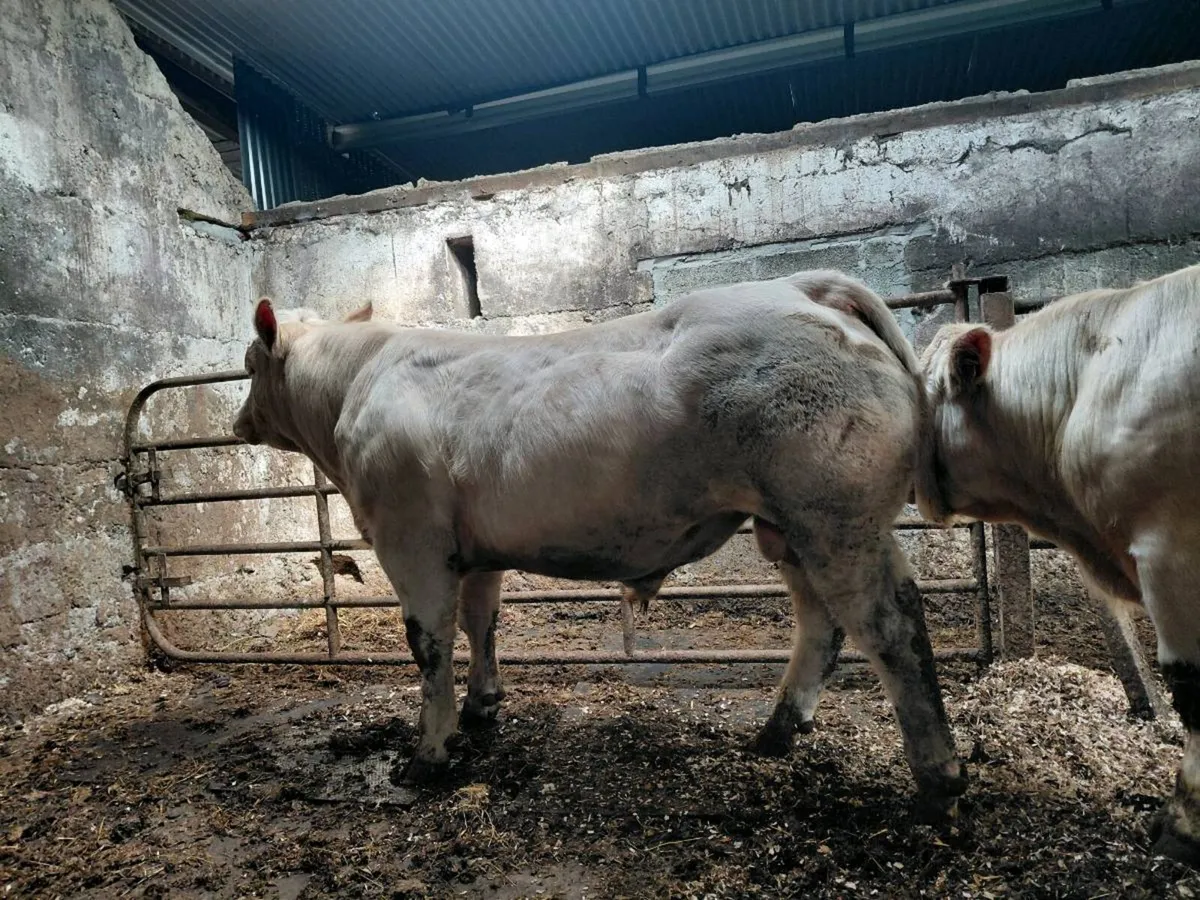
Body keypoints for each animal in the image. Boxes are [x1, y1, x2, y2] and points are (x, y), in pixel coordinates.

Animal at [232, 269, 967, 813]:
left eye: (248, 364)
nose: (238, 423)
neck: (353, 385)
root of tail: (804, 288)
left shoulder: (410, 535)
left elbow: (429, 642)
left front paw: (428, 753)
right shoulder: (474, 550)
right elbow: (481, 622)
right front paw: (483, 706)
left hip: (835, 516)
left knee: (890, 626)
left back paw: (940, 779)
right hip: (794, 525)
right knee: (823, 623)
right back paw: (777, 732)